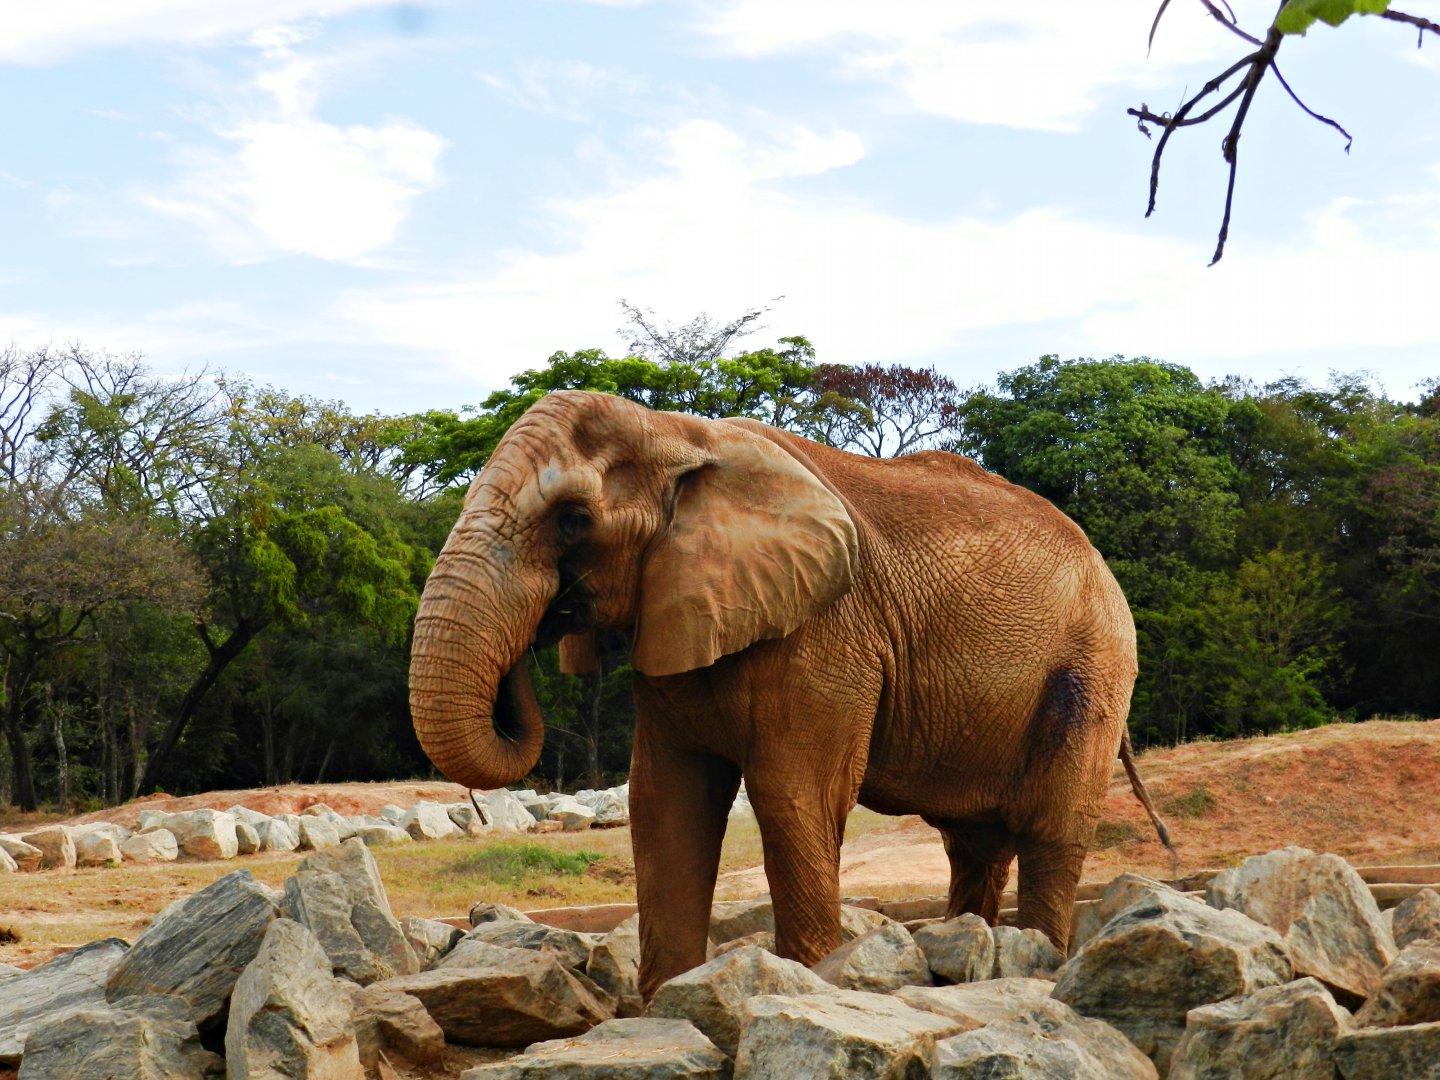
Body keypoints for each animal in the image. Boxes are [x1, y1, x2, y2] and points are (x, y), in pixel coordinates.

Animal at [409, 389, 1170, 995]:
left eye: (571, 519)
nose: (549, 619)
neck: (677, 433)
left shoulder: (825, 630)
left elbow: (793, 794)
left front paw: (806, 985)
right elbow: (664, 799)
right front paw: (668, 1006)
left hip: (1094, 667)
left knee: (1051, 832)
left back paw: (1037, 964)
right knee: (974, 843)